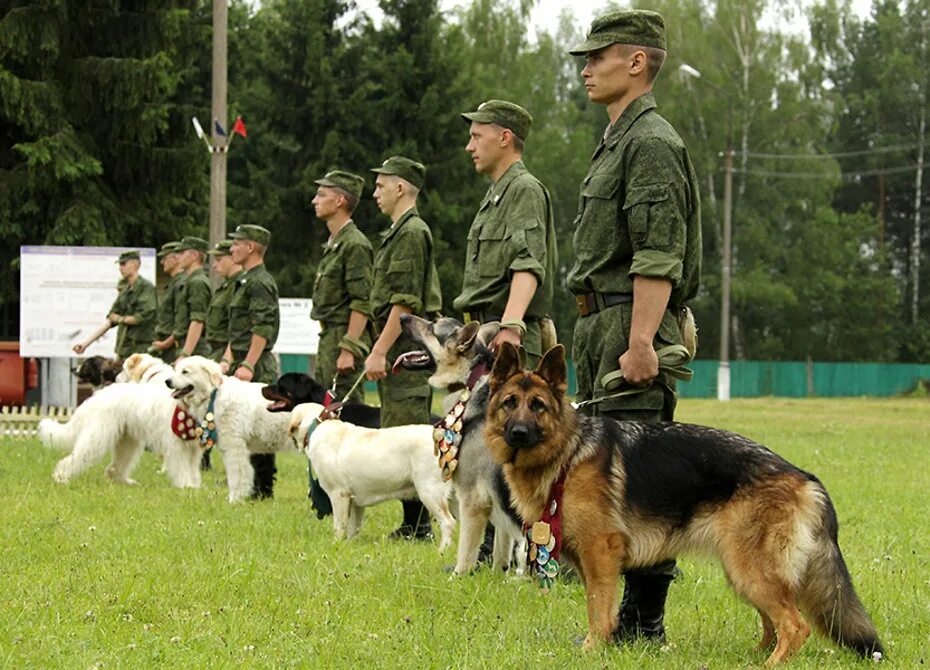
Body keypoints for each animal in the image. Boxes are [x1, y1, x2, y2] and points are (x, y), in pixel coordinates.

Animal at [40, 384, 203, 488]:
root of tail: (94, 398)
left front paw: (194, 486)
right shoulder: (177, 446)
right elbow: (181, 467)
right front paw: (187, 486)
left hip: (128, 442)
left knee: (115, 468)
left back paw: (126, 482)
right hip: (97, 437)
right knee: (75, 459)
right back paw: (61, 478)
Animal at [167, 360, 294, 502]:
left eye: (185, 372)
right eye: (175, 370)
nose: (167, 381)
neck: (213, 395)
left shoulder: (234, 448)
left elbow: (236, 477)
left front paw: (234, 500)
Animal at [286, 404, 454, 552]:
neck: (317, 425)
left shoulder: (339, 494)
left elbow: (339, 526)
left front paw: (336, 546)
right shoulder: (355, 502)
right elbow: (354, 528)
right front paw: (349, 547)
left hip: (430, 492)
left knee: (448, 522)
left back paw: (441, 551)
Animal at [396, 316, 524, 576]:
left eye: (432, 327)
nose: (401, 317)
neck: (468, 383)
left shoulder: (472, 501)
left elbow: (465, 551)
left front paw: (459, 577)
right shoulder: (499, 502)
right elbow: (500, 550)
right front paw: (497, 577)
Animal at [482, 344, 880, 668]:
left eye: (537, 406)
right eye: (509, 403)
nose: (518, 433)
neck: (568, 452)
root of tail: (804, 476)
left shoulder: (600, 554)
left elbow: (598, 609)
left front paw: (592, 650)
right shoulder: (587, 559)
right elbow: (601, 608)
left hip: (750, 569)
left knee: (795, 626)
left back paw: (770, 664)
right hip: (744, 571)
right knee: (774, 623)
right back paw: (754, 656)